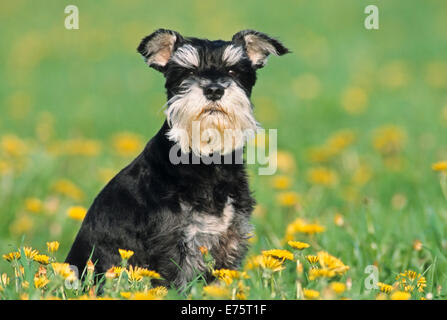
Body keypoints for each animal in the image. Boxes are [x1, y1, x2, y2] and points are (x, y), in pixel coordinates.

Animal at [66, 29, 290, 290]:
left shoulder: (230, 240)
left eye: (233, 71)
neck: (208, 162)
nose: (214, 90)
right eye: (188, 72)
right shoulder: (172, 246)